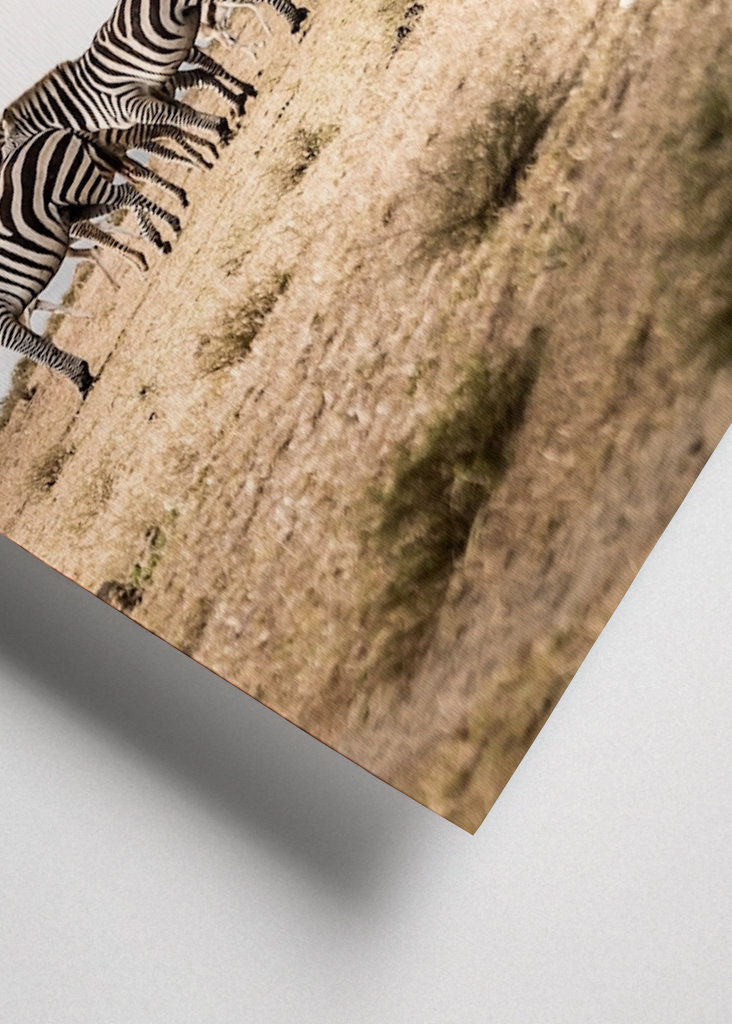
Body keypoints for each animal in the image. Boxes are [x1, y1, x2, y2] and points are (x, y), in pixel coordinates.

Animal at [0, 129, 180, 398]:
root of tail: (58, 131)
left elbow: (32, 347)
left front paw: (81, 379)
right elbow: (36, 342)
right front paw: (81, 373)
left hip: (81, 189)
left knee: (126, 193)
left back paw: (169, 225)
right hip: (78, 204)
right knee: (124, 197)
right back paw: (158, 238)